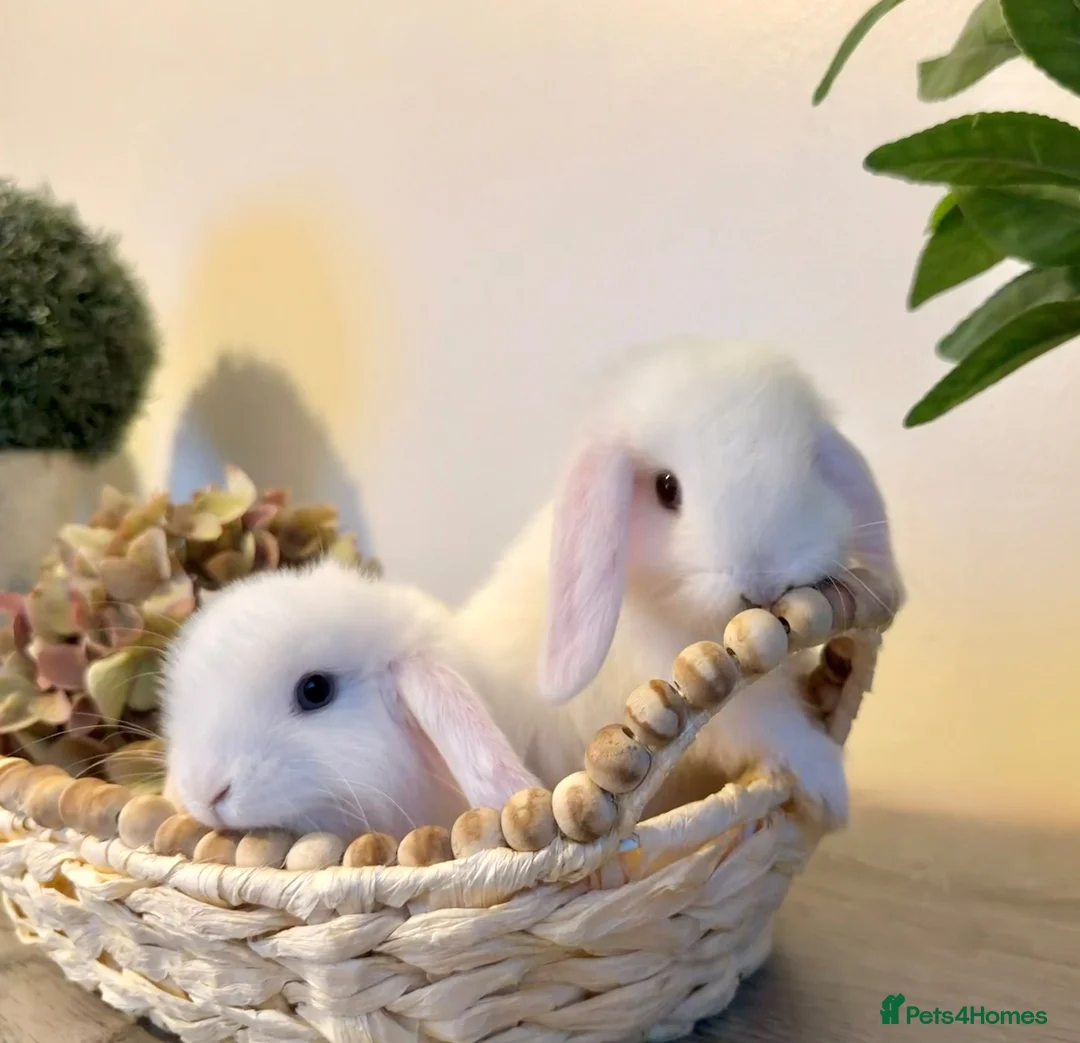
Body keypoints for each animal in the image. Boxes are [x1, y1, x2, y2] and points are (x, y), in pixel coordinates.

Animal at [453, 339, 903, 828]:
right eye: (666, 488)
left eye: (812, 467)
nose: (763, 586)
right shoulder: (727, 706)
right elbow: (774, 726)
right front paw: (831, 794)